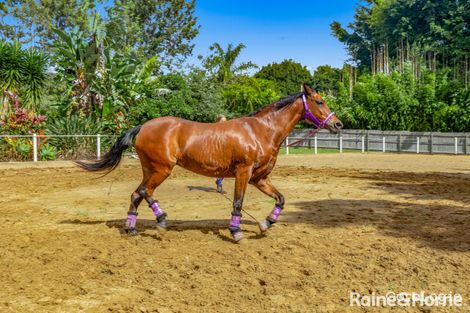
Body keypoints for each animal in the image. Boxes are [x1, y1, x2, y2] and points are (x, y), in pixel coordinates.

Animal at [76, 83, 342, 241]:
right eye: (319, 101)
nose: (337, 124)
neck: (261, 131)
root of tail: (143, 126)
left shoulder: (259, 178)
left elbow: (281, 199)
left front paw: (266, 223)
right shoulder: (244, 173)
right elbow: (237, 202)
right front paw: (236, 231)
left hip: (150, 169)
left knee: (137, 193)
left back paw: (131, 228)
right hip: (162, 169)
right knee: (145, 191)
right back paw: (161, 220)